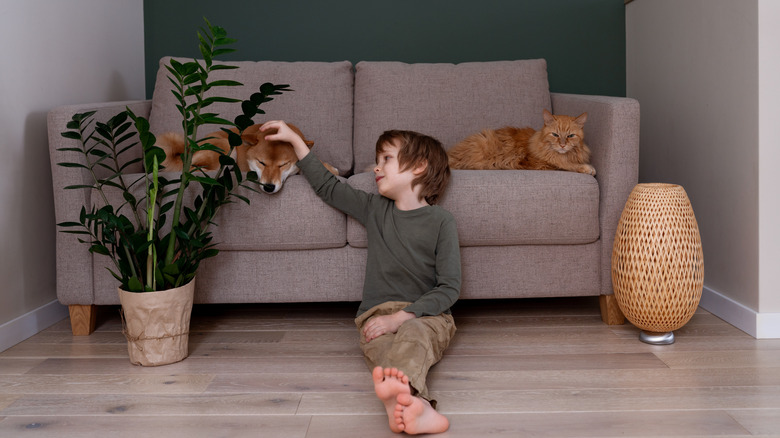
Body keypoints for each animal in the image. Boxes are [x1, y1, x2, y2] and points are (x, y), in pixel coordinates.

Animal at [448, 108, 596, 175]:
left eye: (570, 136)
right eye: (555, 134)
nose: (562, 145)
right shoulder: (542, 164)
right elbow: (566, 165)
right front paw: (587, 168)